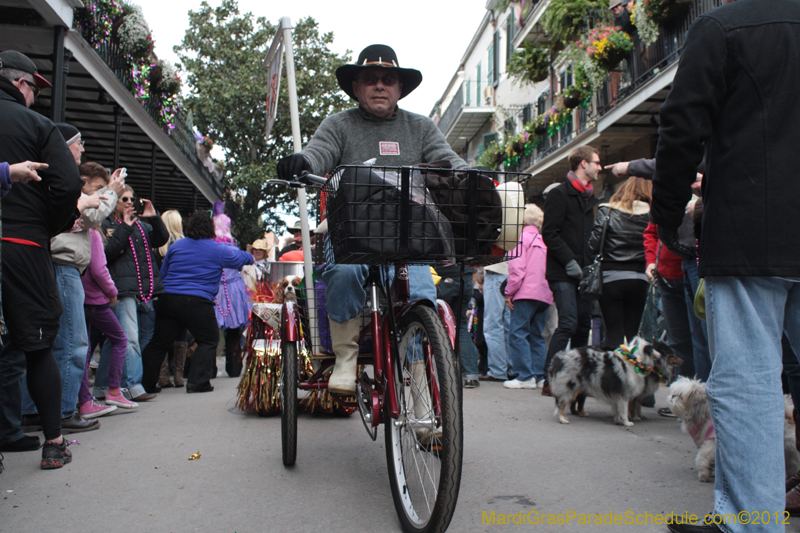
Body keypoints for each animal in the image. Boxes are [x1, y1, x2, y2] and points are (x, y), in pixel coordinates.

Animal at [552, 336, 680, 428]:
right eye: (654, 349)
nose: (660, 354)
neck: (635, 361)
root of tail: (560, 358)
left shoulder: (617, 395)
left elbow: (618, 409)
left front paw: (618, 420)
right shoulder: (625, 394)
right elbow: (625, 410)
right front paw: (627, 422)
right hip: (569, 386)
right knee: (561, 404)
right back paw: (562, 419)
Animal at [664, 374, 800, 482]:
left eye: (681, 396)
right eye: (673, 392)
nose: (672, 396)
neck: (703, 413)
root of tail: (788, 416)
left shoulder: (711, 443)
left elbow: (701, 458)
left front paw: (703, 474)